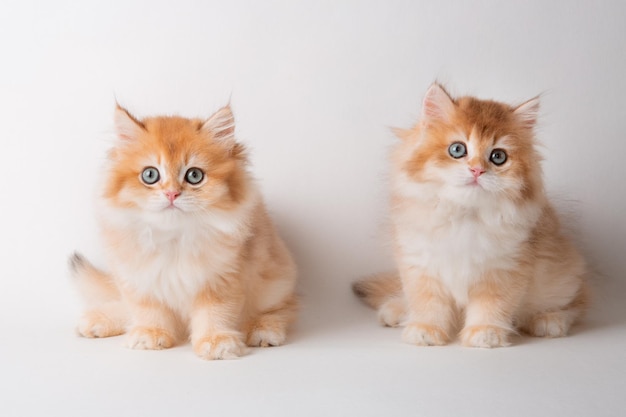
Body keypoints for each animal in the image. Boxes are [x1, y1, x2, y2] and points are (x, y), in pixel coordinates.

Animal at [69, 103, 298, 358]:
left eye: (194, 175)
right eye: (150, 175)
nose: (172, 194)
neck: (173, 237)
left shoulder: (222, 278)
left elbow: (215, 314)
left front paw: (216, 342)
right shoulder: (139, 279)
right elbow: (147, 311)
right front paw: (151, 334)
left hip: (275, 283)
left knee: (285, 308)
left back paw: (262, 329)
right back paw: (98, 320)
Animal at [354, 83, 588, 346]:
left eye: (498, 156)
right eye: (457, 149)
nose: (477, 170)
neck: (464, 217)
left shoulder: (506, 267)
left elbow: (491, 306)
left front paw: (485, 333)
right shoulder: (420, 263)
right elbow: (427, 303)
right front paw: (425, 330)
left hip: (564, 275)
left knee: (578, 303)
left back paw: (549, 320)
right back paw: (396, 310)